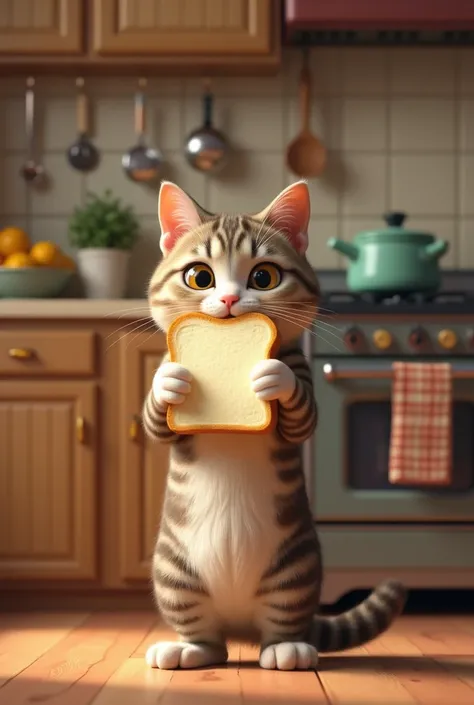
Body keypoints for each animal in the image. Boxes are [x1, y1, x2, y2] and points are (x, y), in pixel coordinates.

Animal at [143, 179, 406, 668]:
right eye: (200, 277)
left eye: (263, 277)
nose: (229, 300)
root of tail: (239, 625)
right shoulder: (168, 406)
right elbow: (158, 424)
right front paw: (168, 383)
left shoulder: (303, 382)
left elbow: (302, 414)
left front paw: (273, 377)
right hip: (175, 577)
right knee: (210, 641)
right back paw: (188, 649)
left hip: (294, 571)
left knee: (280, 626)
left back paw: (288, 649)